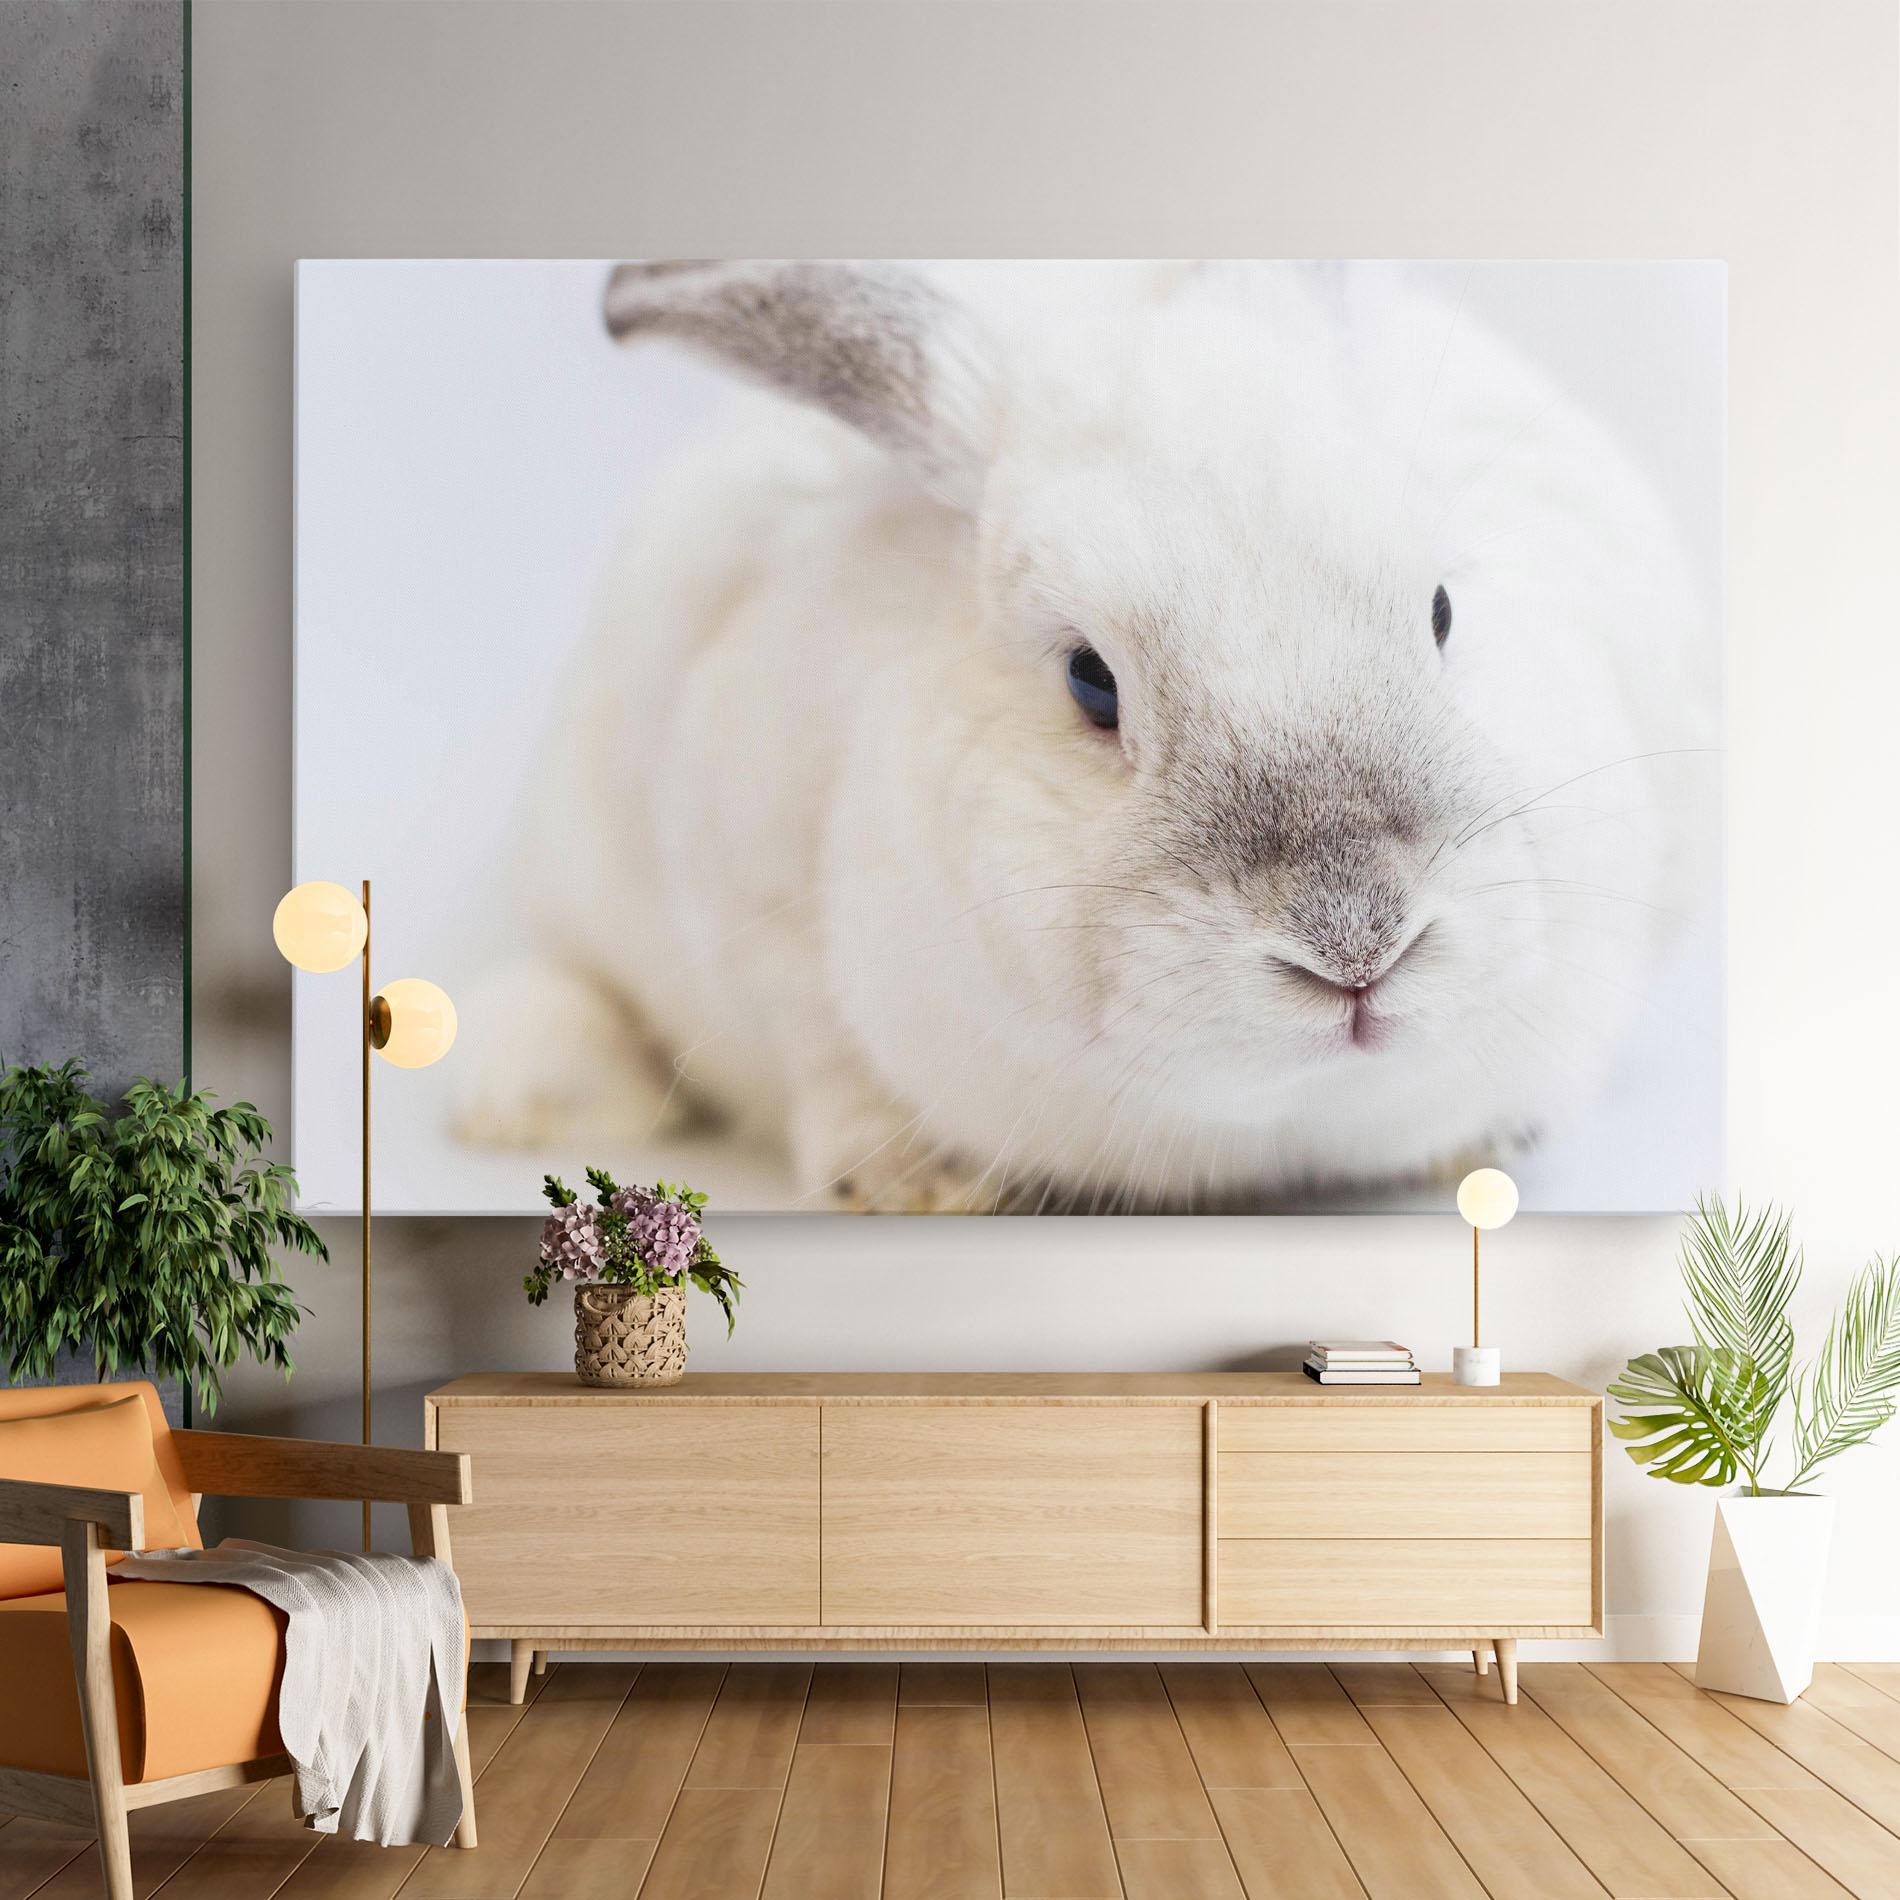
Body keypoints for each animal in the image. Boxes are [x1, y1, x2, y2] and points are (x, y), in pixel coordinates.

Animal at [452, 260, 1715, 1211]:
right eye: (1089, 681)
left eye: (1443, 609)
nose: (1355, 943)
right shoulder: (748, 903)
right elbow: (824, 1058)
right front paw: (915, 1181)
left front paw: (1485, 1144)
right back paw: (520, 1101)